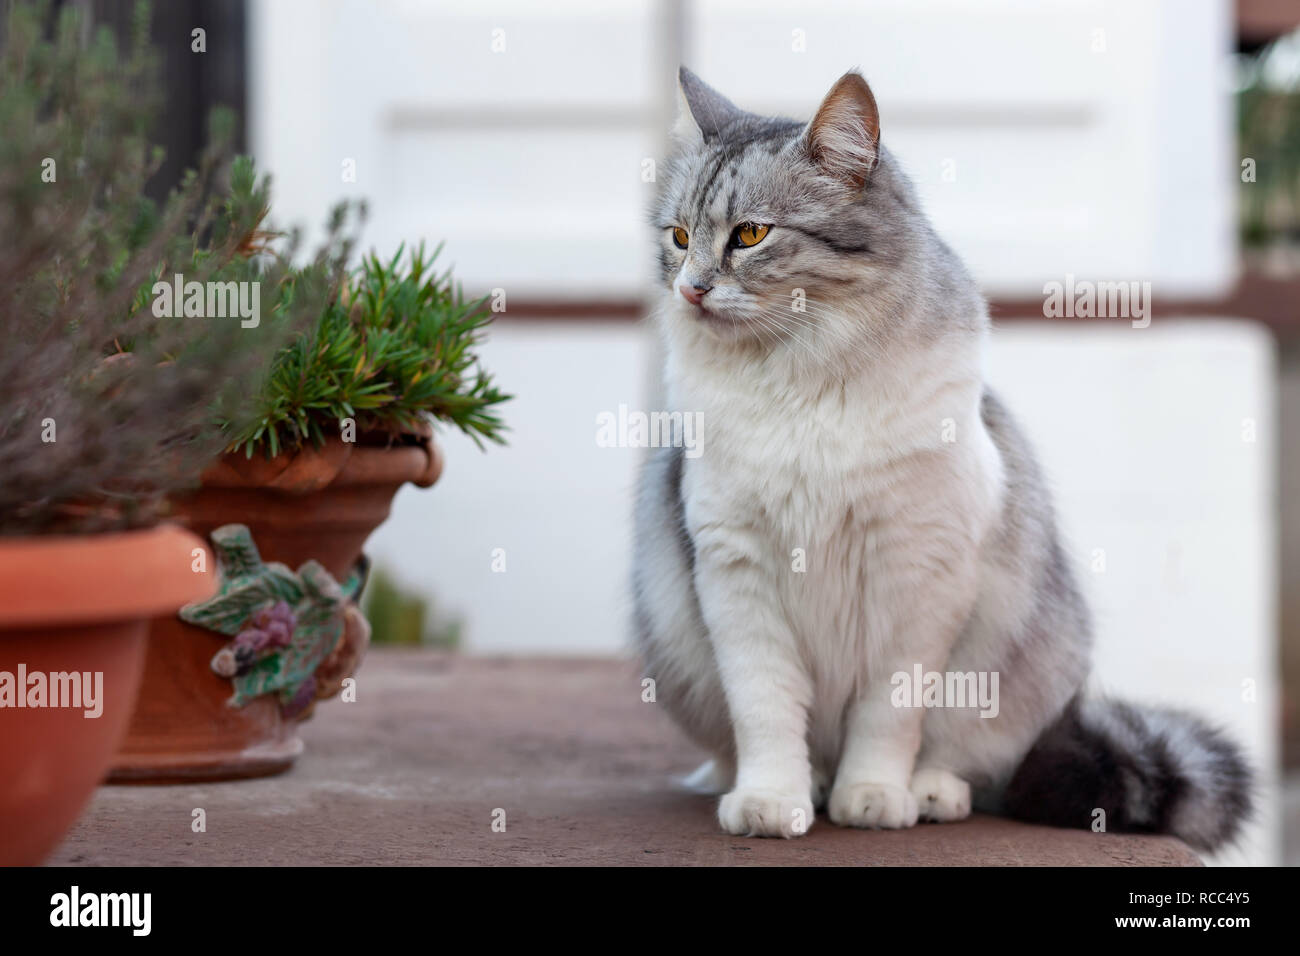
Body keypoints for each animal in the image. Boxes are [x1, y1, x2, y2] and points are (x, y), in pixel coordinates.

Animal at [634, 65, 1253, 853]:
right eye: (679, 237)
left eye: (750, 235)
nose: (689, 289)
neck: (799, 378)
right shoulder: (735, 574)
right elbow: (767, 711)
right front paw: (773, 801)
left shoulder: (921, 577)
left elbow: (888, 716)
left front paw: (874, 797)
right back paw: (796, 784)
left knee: (962, 760)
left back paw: (925, 794)